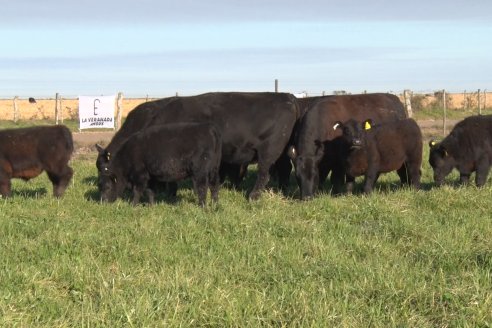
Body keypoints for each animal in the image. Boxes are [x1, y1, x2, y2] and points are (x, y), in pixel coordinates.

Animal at [94, 91, 298, 200]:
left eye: (105, 169)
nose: (102, 196)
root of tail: (286, 97)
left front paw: (169, 194)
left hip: (269, 151)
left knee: (264, 174)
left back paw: (253, 196)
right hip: (280, 153)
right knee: (284, 169)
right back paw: (282, 189)